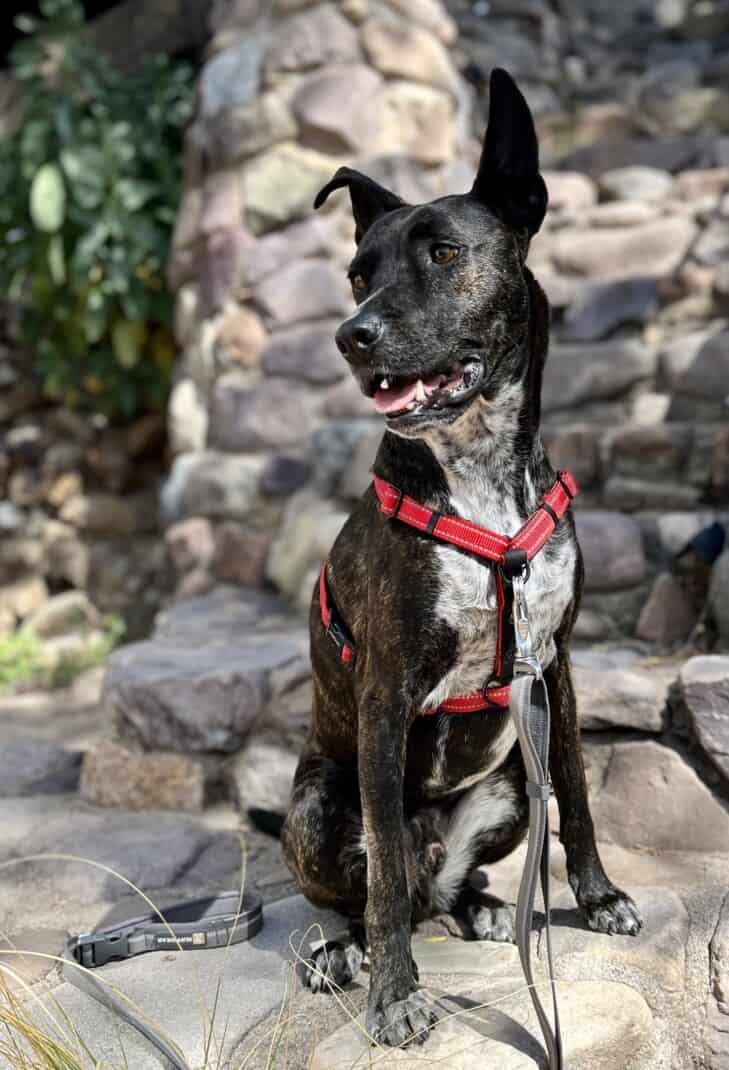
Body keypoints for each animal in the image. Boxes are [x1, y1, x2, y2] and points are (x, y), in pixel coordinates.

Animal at [280, 66, 642, 1044]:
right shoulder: (385, 690)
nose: (351, 335)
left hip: (509, 789)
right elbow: (380, 882)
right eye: (357, 274)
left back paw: (478, 906)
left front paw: (597, 897)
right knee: (373, 887)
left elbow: (580, 793)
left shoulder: (555, 664)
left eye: (443, 254)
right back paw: (343, 951)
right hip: (316, 806)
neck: (476, 472)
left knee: (443, 881)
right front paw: (396, 993)